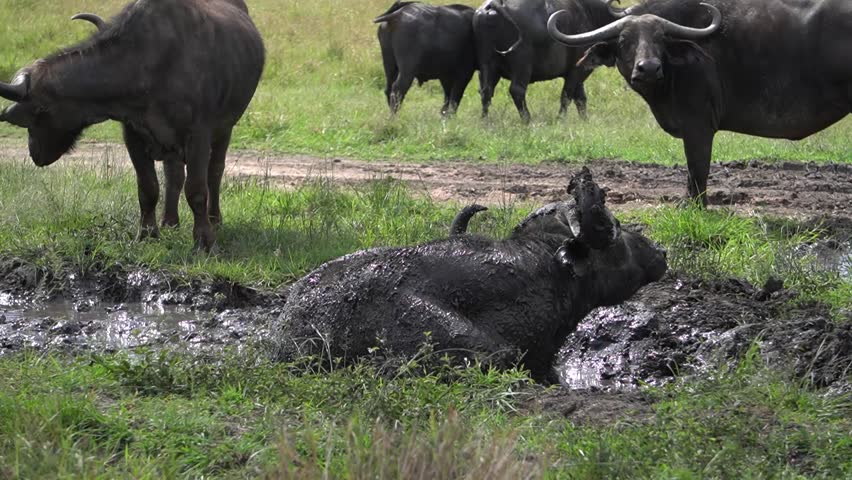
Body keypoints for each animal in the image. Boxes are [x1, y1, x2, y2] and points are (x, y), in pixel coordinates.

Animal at [0, 0, 265, 249]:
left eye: (37, 113)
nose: (34, 153)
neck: (148, 65)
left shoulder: (198, 135)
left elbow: (197, 190)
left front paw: (204, 240)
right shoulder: (134, 136)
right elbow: (148, 188)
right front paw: (147, 234)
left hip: (225, 129)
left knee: (215, 172)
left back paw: (215, 220)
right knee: (174, 175)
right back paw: (169, 222)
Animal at [474, 0, 620, 122]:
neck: (590, 15)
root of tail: (493, 5)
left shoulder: (578, 75)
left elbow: (580, 98)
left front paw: (584, 120)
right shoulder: (577, 70)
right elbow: (567, 95)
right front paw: (560, 119)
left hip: (487, 65)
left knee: (485, 91)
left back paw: (485, 121)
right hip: (522, 65)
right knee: (517, 90)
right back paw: (527, 120)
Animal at [548, 0, 852, 204]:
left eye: (661, 38)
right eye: (624, 40)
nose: (649, 68)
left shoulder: (698, 126)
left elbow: (697, 169)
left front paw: (695, 206)